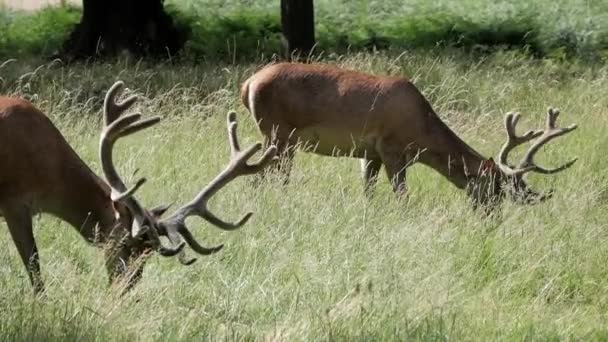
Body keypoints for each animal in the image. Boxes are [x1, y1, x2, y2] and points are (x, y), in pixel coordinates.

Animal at [240, 62, 576, 207]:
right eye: (493, 189)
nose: (491, 217)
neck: (421, 137)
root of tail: (248, 84)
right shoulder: (390, 148)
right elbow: (402, 195)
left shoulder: (369, 153)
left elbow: (368, 191)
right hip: (278, 134)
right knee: (264, 177)